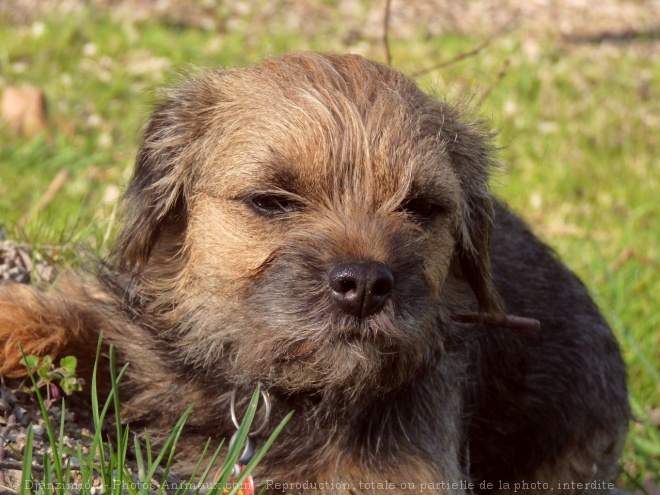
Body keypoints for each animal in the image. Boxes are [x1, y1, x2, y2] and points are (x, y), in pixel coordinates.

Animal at [0, 52, 628, 494]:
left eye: (422, 207)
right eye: (272, 201)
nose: (366, 285)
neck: (279, 397)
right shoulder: (149, 347)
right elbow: (86, 322)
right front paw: (13, 315)